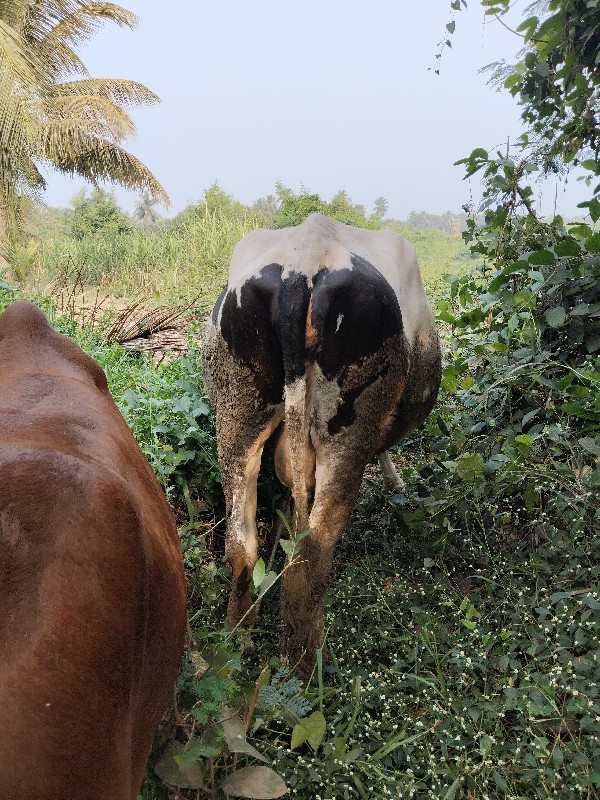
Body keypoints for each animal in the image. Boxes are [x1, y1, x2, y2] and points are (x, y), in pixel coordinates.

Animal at [202, 211, 440, 668]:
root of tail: (304, 263)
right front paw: (396, 483)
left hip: (237, 414)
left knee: (241, 543)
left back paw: (238, 639)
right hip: (346, 428)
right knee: (313, 551)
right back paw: (306, 663)